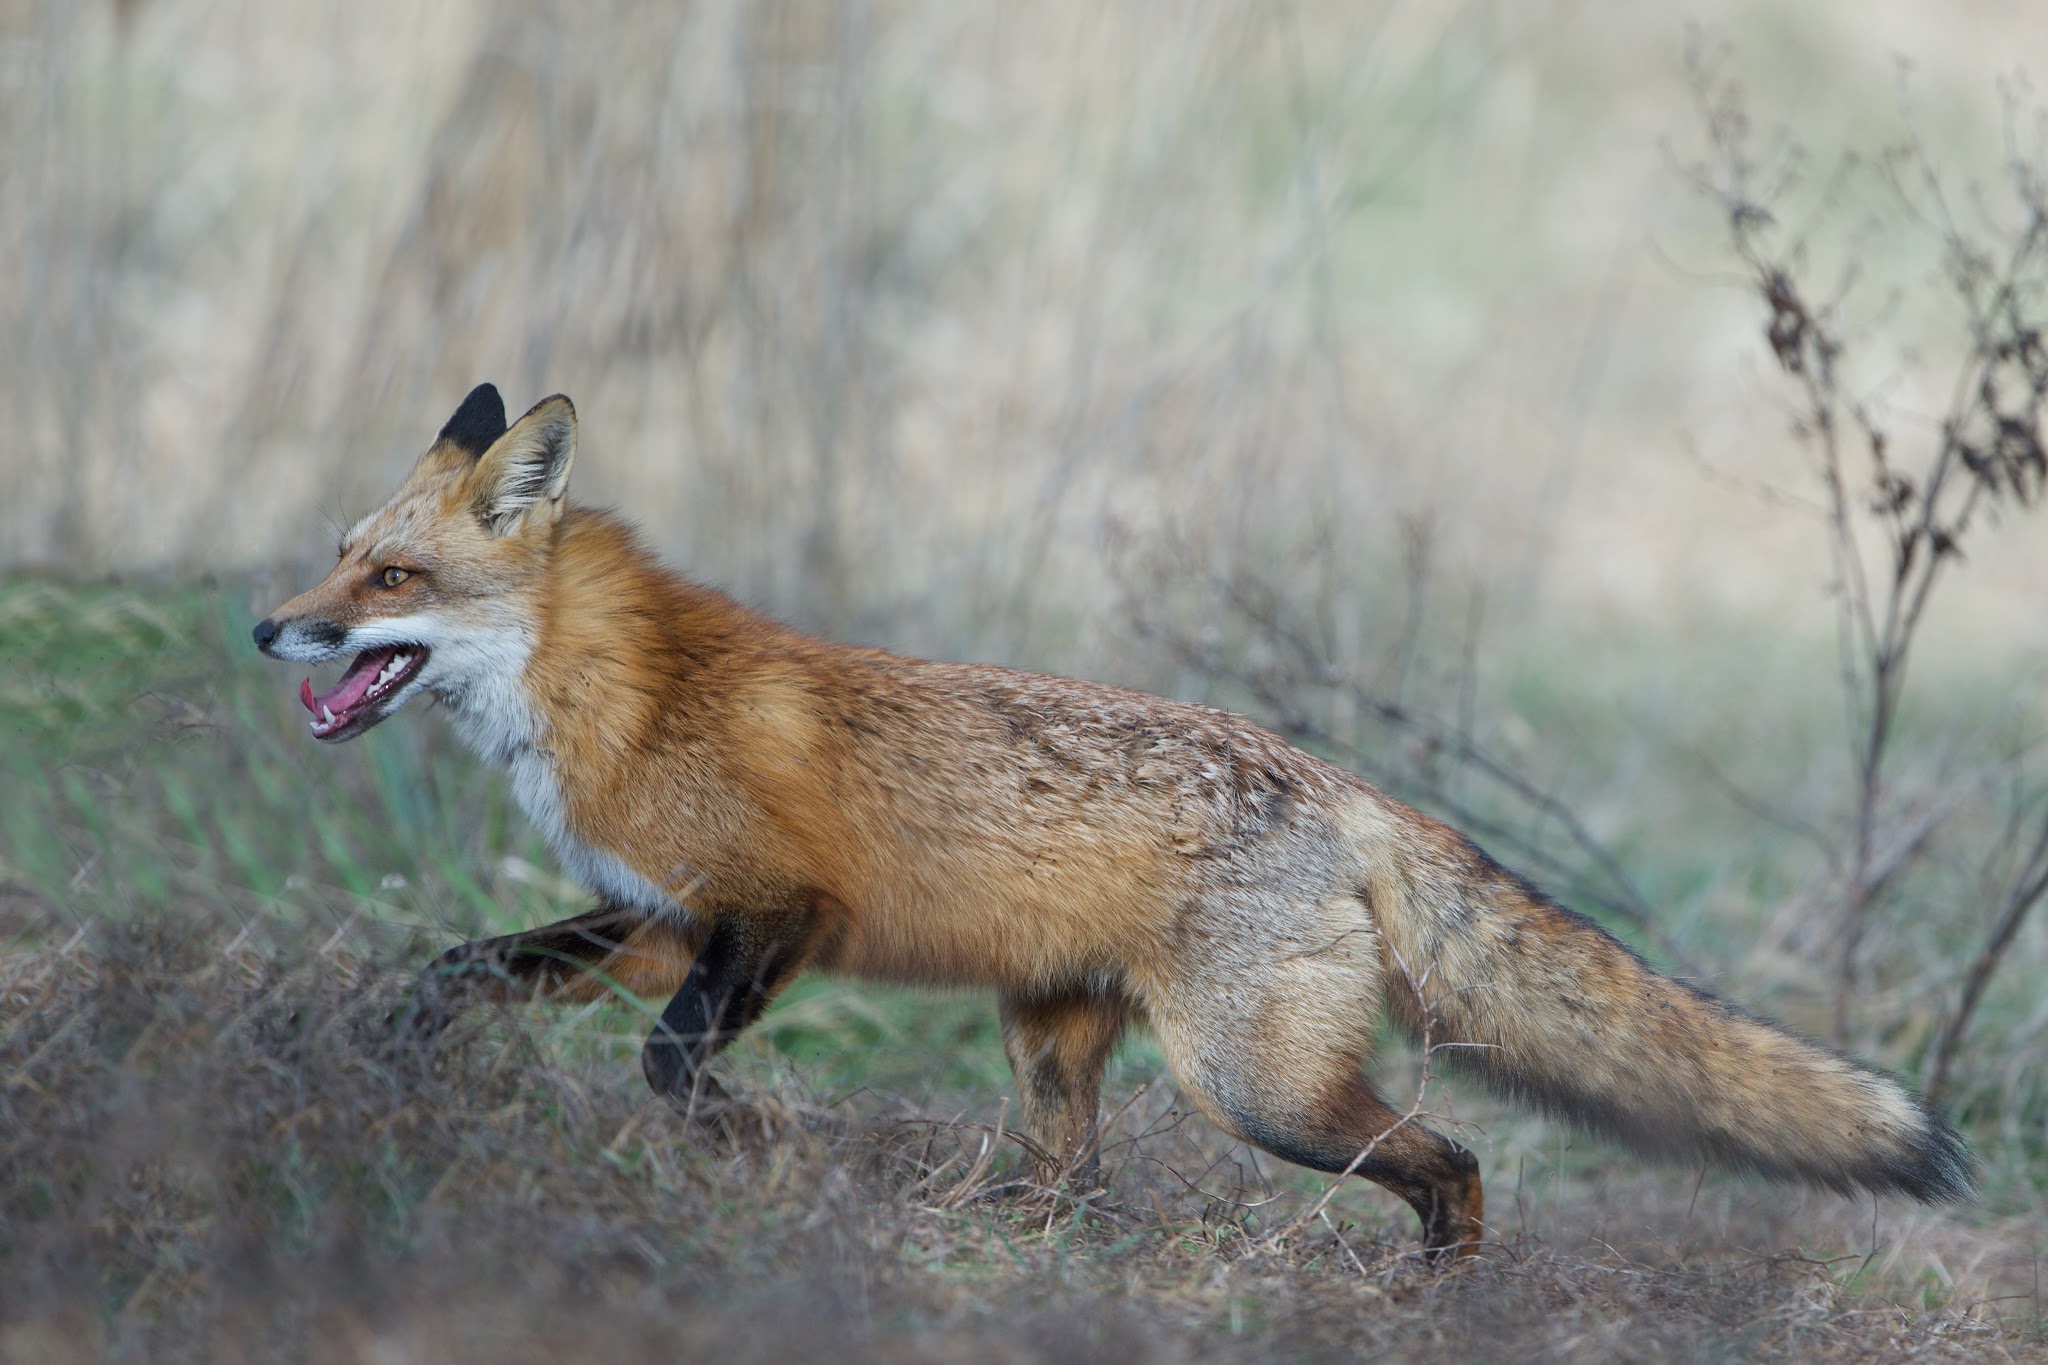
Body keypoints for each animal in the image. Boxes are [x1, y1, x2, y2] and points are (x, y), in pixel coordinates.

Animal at [253, 383, 1973, 1259]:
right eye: (337, 552)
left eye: (391, 579)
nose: (268, 627)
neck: (617, 690)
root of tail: (1343, 786)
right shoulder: (661, 921)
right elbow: (458, 969)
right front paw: (381, 1066)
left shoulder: (777, 915)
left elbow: (674, 1064)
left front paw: (739, 1141)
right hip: (1056, 1045)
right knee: (1075, 1191)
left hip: (1255, 1090)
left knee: (1459, 1162)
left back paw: (1434, 1306)